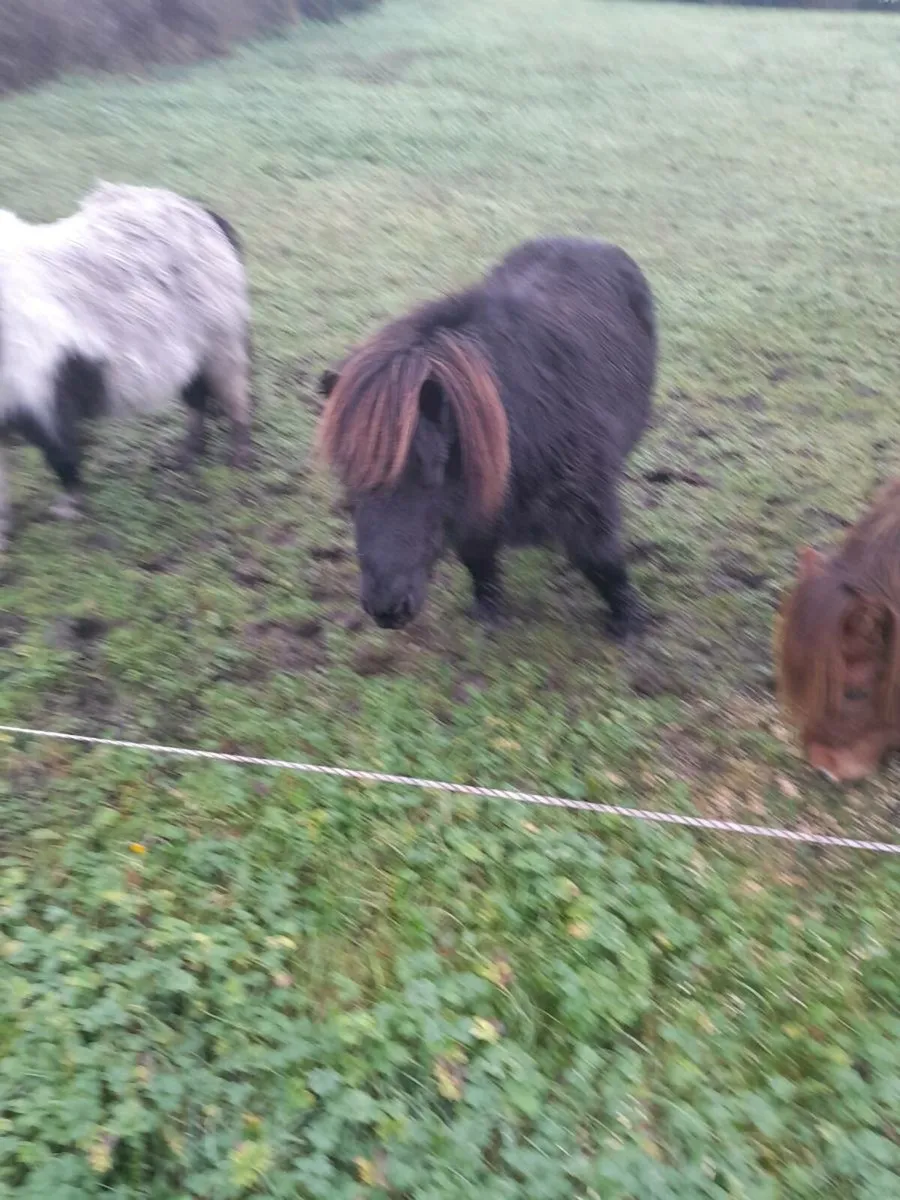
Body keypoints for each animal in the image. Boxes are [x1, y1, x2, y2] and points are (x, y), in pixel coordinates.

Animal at [0, 182, 252, 549]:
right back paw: (187, 455)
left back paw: (237, 459)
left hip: (221, 342)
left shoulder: (40, 393)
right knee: (198, 399)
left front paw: (68, 508)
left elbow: (61, 454)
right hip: (194, 354)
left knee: (234, 398)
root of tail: (206, 215)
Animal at [316, 237, 657, 636]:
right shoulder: (472, 511)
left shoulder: (587, 502)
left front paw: (629, 623)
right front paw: (487, 611)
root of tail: (589, 242)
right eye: (347, 476)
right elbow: (478, 559)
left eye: (431, 471)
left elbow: (602, 561)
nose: (387, 609)